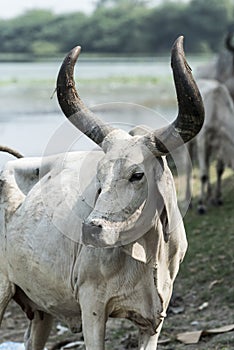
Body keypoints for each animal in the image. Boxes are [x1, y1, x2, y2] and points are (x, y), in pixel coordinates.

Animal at [0, 36, 205, 350]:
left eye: (137, 175)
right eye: (99, 177)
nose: (93, 229)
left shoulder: (155, 318)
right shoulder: (92, 305)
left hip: (40, 310)